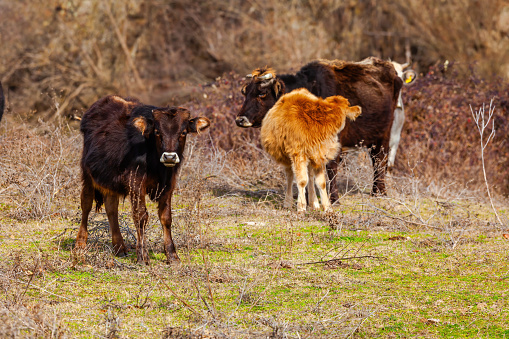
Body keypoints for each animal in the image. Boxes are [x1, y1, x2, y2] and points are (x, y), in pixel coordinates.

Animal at [75, 95, 210, 266]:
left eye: (184, 132)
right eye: (157, 132)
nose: (170, 157)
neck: (157, 165)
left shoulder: (168, 185)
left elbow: (166, 217)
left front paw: (172, 255)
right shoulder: (136, 184)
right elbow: (141, 217)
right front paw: (142, 256)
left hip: (110, 181)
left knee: (112, 209)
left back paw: (119, 247)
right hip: (87, 174)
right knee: (86, 204)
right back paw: (80, 244)